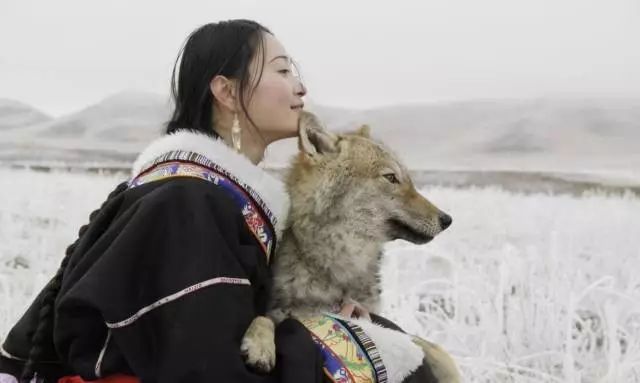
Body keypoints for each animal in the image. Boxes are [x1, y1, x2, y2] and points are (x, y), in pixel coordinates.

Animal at [241, 112, 460, 383]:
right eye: (391, 178)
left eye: (408, 180)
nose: (447, 219)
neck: (341, 266)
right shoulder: (283, 312)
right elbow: (266, 319)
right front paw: (259, 346)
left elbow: (433, 348)